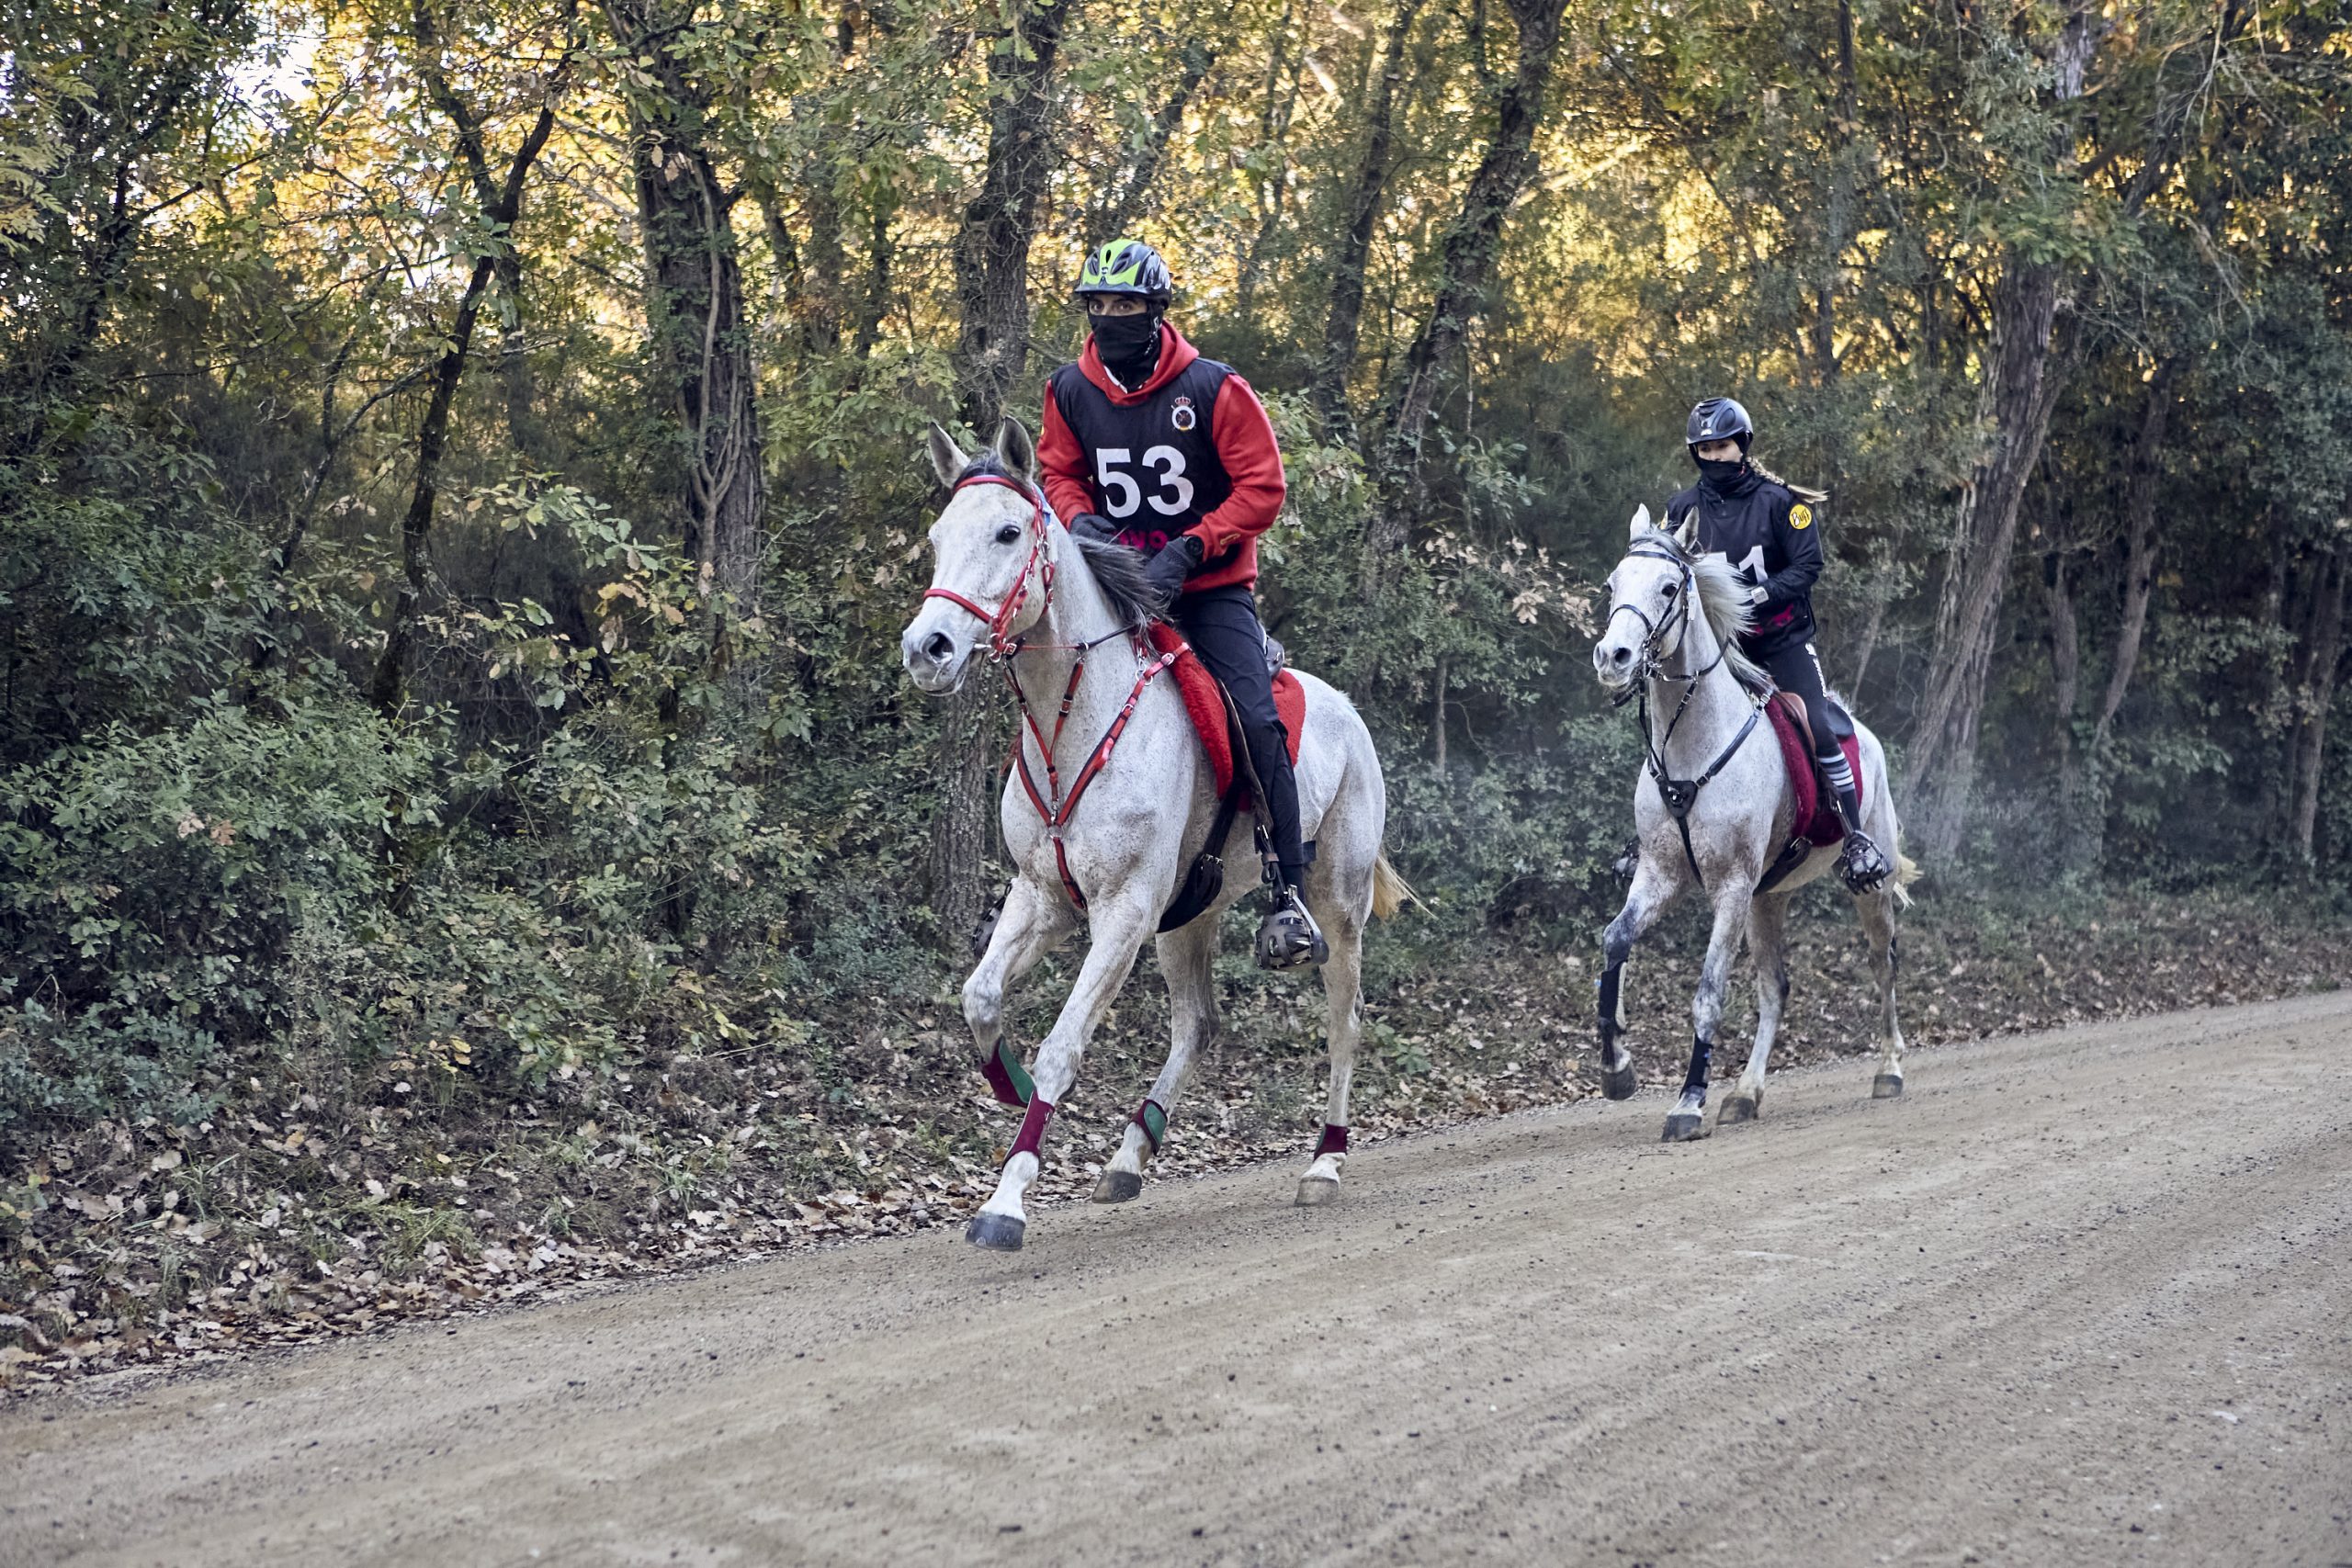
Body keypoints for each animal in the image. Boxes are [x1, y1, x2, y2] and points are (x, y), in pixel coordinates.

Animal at [898, 415, 1411, 1250]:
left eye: (1009, 531)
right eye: (940, 536)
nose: (927, 649)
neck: (1074, 722)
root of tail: (1347, 710)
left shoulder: (1123, 914)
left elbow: (1063, 1045)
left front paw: (1006, 1202)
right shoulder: (1042, 897)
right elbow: (979, 997)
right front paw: (1006, 1082)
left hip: (1336, 904)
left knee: (1345, 1018)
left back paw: (1324, 1163)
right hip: (1187, 917)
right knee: (1197, 1024)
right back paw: (1131, 1154)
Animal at [1589, 512, 1918, 1142]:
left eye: (1669, 587)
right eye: (1613, 583)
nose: (1612, 656)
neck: (1693, 748)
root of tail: (1863, 732)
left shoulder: (1731, 888)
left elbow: (1709, 993)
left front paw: (1688, 1103)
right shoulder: (1660, 876)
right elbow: (1614, 941)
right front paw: (1617, 1069)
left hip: (1867, 887)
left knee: (1881, 962)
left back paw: (1889, 1070)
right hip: (1769, 900)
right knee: (1775, 987)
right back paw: (1745, 1093)